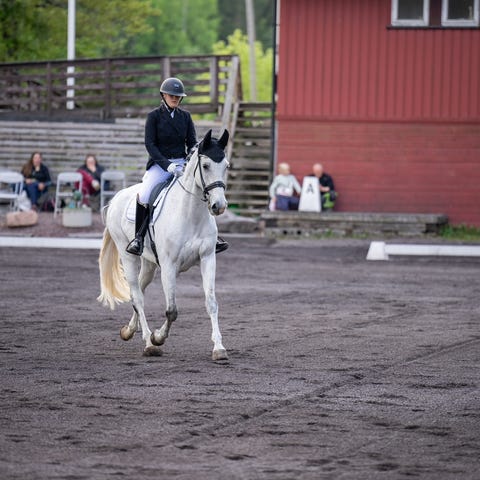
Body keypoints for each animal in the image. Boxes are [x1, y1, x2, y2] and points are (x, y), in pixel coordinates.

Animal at [97, 129, 230, 361]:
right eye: (205, 166)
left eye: (226, 166)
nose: (219, 206)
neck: (191, 214)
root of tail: (116, 199)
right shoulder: (169, 265)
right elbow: (172, 310)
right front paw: (158, 337)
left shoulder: (208, 258)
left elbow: (212, 303)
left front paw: (219, 348)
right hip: (128, 256)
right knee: (137, 297)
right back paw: (149, 343)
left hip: (149, 264)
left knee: (139, 290)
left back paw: (129, 331)